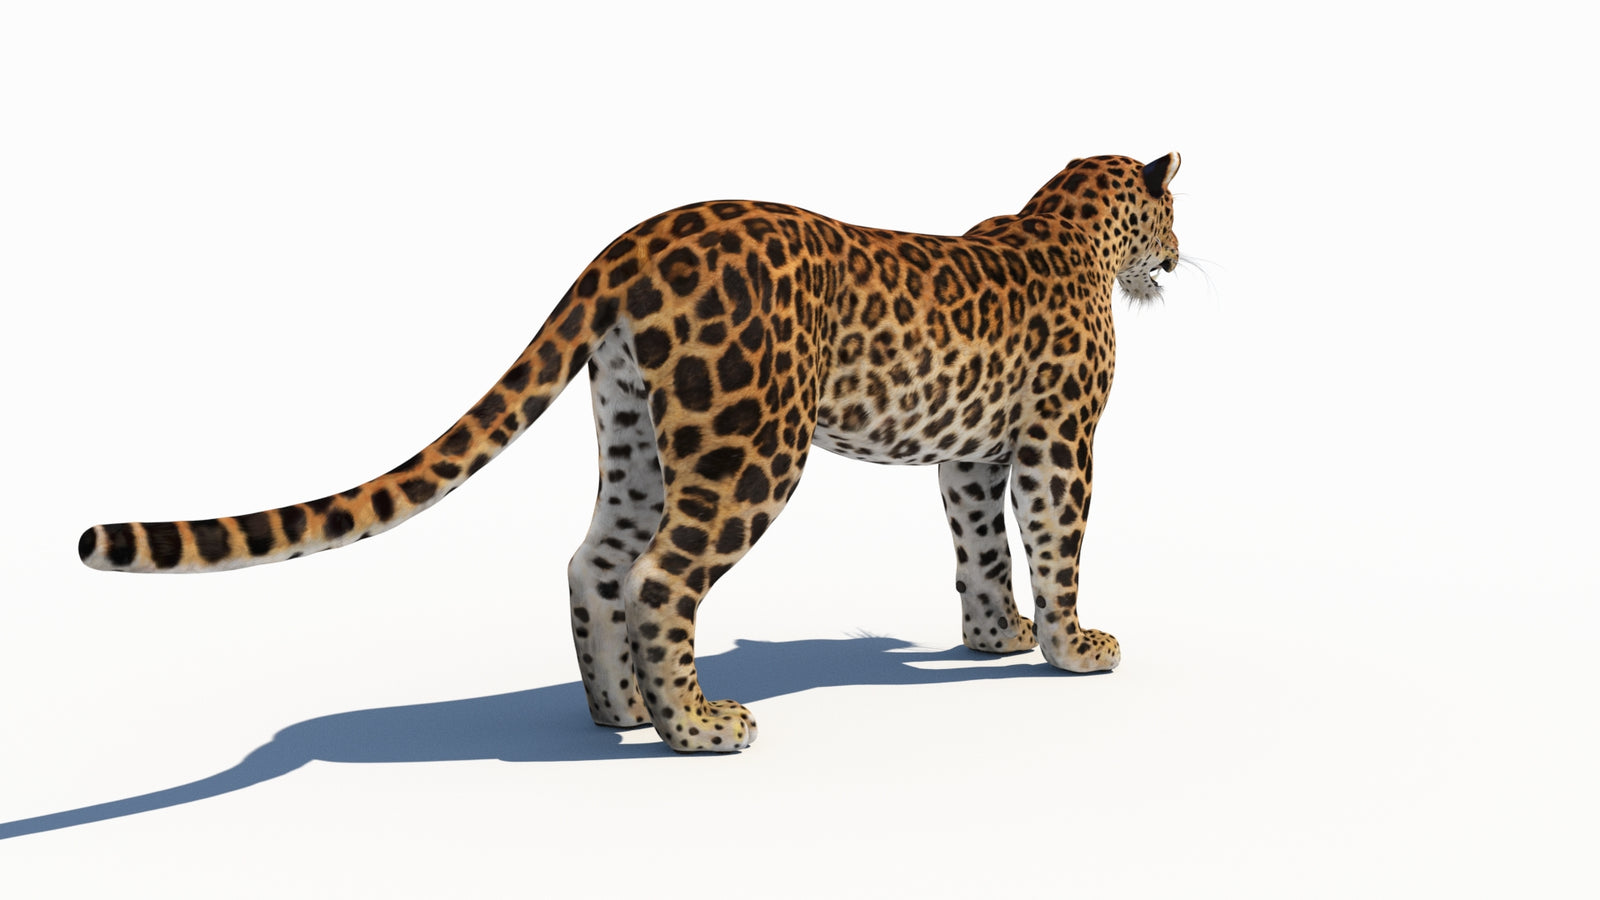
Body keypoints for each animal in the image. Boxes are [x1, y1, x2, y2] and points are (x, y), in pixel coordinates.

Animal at [78, 152, 1182, 752]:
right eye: (1173, 213)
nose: (1176, 257)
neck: (1069, 228)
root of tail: (636, 239)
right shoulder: (1060, 441)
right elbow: (1055, 546)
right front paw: (1072, 649)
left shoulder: (973, 454)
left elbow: (980, 551)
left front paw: (993, 638)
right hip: (750, 441)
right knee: (661, 575)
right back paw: (697, 727)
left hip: (643, 431)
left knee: (595, 560)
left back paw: (622, 715)